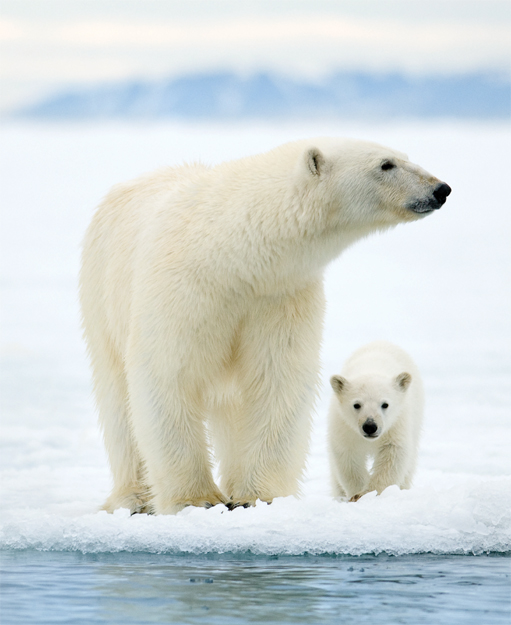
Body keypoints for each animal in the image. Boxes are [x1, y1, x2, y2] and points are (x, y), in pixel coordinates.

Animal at [328, 338, 424, 500]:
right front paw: (357, 494)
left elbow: (393, 454)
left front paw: (372, 493)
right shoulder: (344, 426)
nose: (370, 426)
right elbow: (348, 456)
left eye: (385, 404)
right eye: (356, 404)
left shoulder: (397, 422)